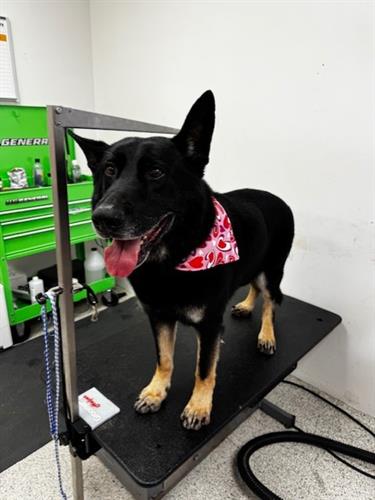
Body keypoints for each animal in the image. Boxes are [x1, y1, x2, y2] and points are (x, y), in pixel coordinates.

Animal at [70, 92, 294, 432]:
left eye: (156, 172)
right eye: (109, 171)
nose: (103, 219)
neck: (170, 263)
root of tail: (277, 197)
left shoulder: (210, 325)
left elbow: (204, 369)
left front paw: (199, 406)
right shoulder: (159, 317)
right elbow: (164, 358)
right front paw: (156, 392)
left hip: (272, 271)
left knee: (271, 300)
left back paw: (266, 335)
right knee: (254, 287)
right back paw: (245, 305)